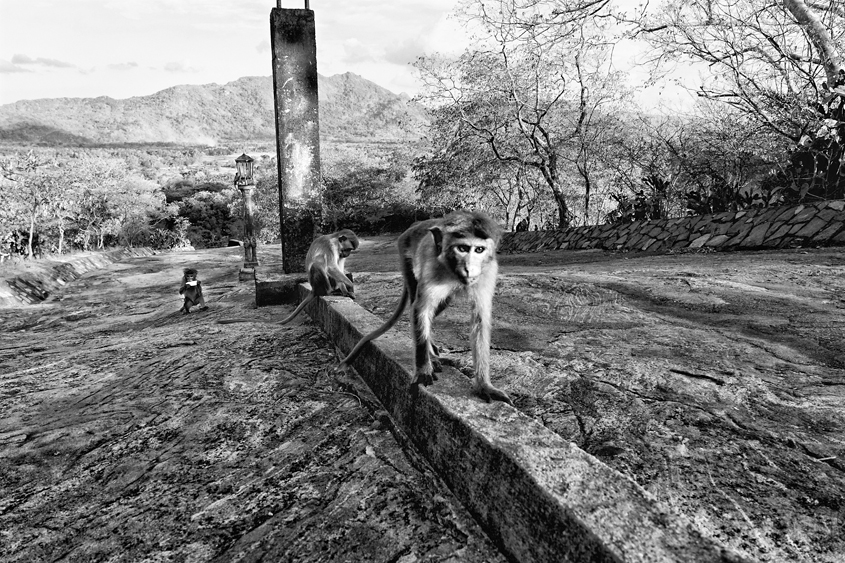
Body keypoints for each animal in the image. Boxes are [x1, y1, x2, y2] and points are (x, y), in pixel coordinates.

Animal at [216, 229, 358, 326]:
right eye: (349, 249)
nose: (348, 254)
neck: (336, 241)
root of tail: (313, 288)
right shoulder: (331, 246)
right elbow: (331, 267)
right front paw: (350, 285)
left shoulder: (339, 252)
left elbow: (338, 267)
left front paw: (346, 290)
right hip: (319, 283)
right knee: (318, 265)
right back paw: (327, 292)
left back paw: (337, 290)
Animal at [338, 212, 512, 406]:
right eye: (462, 248)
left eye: (479, 250)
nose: (469, 268)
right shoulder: (432, 267)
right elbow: (421, 309)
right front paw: (423, 369)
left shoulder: (487, 272)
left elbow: (480, 320)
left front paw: (484, 385)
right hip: (406, 258)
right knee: (418, 300)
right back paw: (431, 356)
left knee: (442, 303)